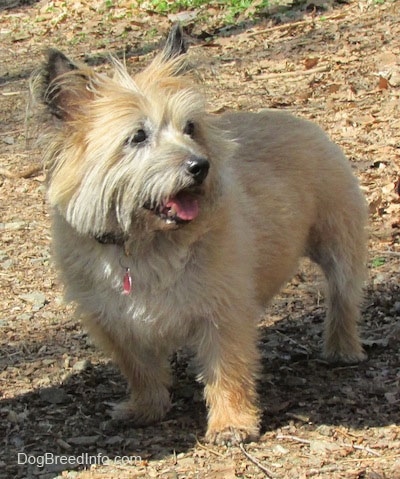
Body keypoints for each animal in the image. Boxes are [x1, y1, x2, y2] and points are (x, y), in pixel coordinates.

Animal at [36, 26, 368, 446]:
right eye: (138, 136)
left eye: (190, 127)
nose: (200, 166)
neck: (145, 244)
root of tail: (289, 115)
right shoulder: (113, 322)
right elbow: (140, 369)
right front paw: (146, 408)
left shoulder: (222, 314)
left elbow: (227, 369)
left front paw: (231, 423)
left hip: (339, 242)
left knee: (343, 296)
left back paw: (343, 348)